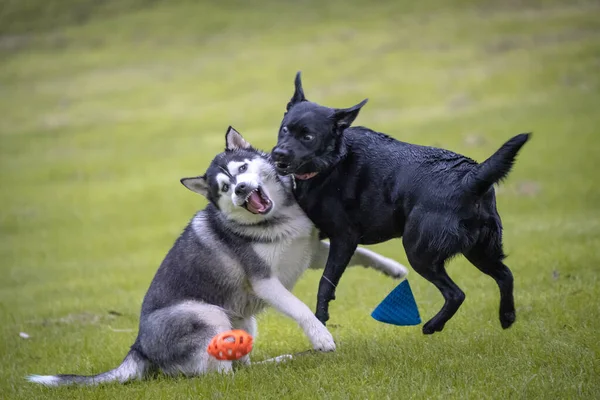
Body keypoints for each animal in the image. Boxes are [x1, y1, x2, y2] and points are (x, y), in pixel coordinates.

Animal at [272, 72, 528, 334]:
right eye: (285, 129)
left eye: (308, 137)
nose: (278, 153)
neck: (333, 161)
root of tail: (471, 177)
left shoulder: (344, 239)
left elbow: (325, 284)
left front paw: (321, 320)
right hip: (479, 250)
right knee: (505, 275)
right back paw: (506, 316)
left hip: (419, 251)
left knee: (456, 293)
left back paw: (433, 325)